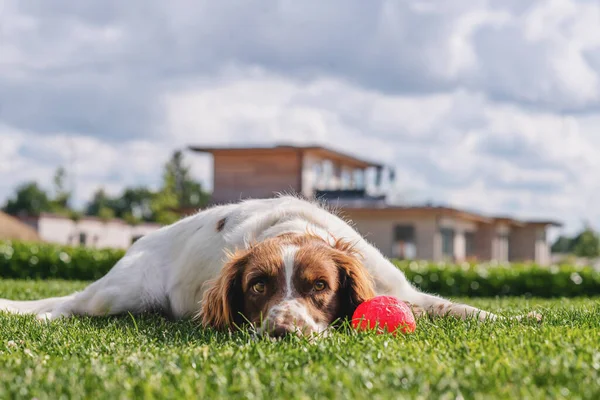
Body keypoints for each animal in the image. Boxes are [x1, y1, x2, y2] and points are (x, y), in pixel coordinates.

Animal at [0, 195, 540, 336]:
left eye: (319, 286)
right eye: (258, 286)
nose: (284, 332)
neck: (294, 230)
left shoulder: (405, 292)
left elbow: (461, 308)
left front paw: (524, 316)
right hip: (121, 292)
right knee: (73, 304)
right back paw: (41, 317)